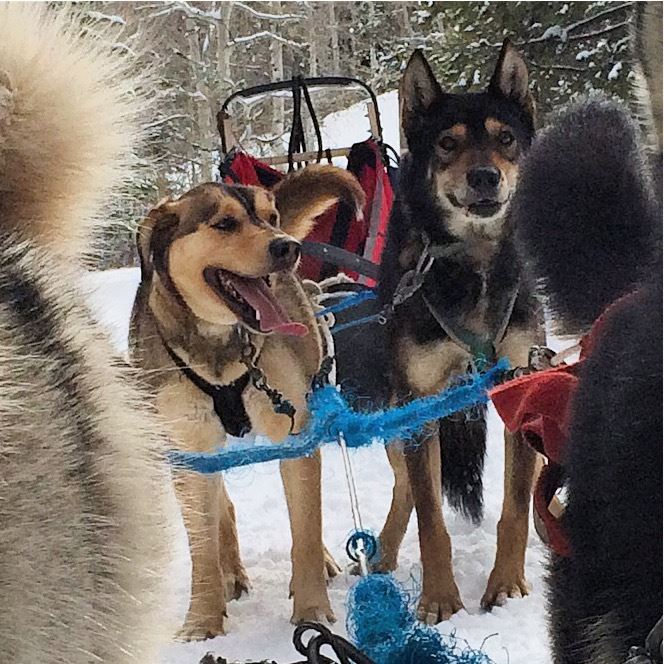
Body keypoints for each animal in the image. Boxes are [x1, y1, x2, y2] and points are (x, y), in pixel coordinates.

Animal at [129, 166, 364, 638]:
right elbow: (201, 546)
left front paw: (312, 611)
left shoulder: (294, 438)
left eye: (270, 217)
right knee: (222, 509)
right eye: (224, 223)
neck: (221, 348)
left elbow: (304, 529)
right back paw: (231, 574)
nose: (287, 246)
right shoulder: (190, 450)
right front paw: (202, 619)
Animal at [375, 41, 543, 623]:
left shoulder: (519, 383)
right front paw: (440, 598)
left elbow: (515, 505)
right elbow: (430, 519)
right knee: (405, 487)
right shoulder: (420, 404)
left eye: (505, 138)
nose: (486, 177)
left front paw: (506, 586)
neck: (471, 265)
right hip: (400, 414)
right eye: (448, 144)